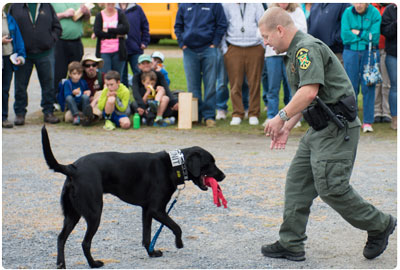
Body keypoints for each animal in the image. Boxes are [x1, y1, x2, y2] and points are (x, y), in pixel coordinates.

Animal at [43, 126, 228, 268]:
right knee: (85, 243)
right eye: (210, 163)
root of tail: (72, 168)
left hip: (72, 215)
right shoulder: (157, 210)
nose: (223, 175)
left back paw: (61, 265)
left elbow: (147, 237)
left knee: (61, 238)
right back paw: (94, 264)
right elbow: (176, 227)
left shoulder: (147, 210)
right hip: (94, 213)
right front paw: (179, 243)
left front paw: (152, 253)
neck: (173, 165)